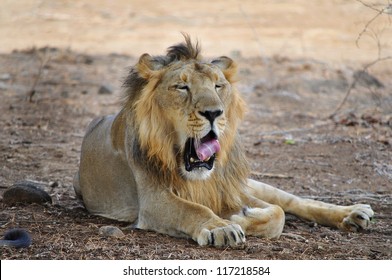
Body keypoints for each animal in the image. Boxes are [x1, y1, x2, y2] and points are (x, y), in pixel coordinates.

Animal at [72, 35, 374, 247]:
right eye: (182, 87)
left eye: (219, 86)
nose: (213, 113)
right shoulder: (152, 197)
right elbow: (192, 209)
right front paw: (222, 227)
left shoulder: (228, 189)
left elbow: (278, 212)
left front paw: (242, 216)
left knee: (292, 200)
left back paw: (354, 213)